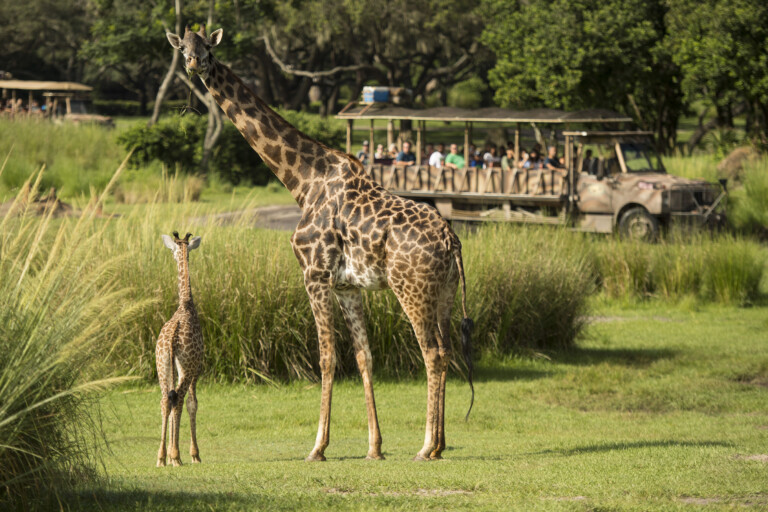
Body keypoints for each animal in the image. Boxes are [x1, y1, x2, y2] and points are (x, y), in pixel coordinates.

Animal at [166, 26, 474, 462]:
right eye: (184, 49)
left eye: (208, 47)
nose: (195, 65)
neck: (301, 182)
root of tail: (451, 240)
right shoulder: (347, 285)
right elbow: (364, 357)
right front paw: (374, 448)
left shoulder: (314, 275)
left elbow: (327, 358)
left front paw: (317, 447)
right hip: (444, 291)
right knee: (446, 350)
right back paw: (440, 446)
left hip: (411, 288)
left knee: (431, 352)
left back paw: (425, 446)